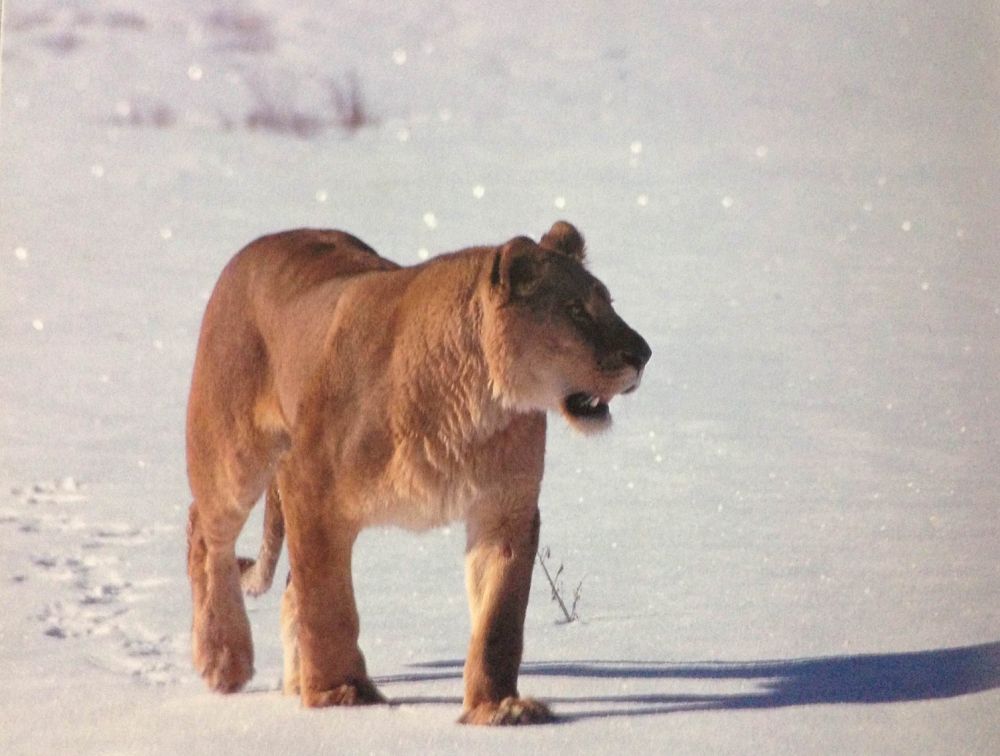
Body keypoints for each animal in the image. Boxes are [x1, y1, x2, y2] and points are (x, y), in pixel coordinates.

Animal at [186, 220, 648, 728]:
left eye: (608, 303)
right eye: (575, 311)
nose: (644, 354)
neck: (474, 404)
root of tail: (260, 244)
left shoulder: (505, 510)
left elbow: (499, 619)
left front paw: (497, 708)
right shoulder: (308, 486)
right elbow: (328, 607)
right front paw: (341, 695)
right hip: (233, 456)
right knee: (205, 535)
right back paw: (222, 658)